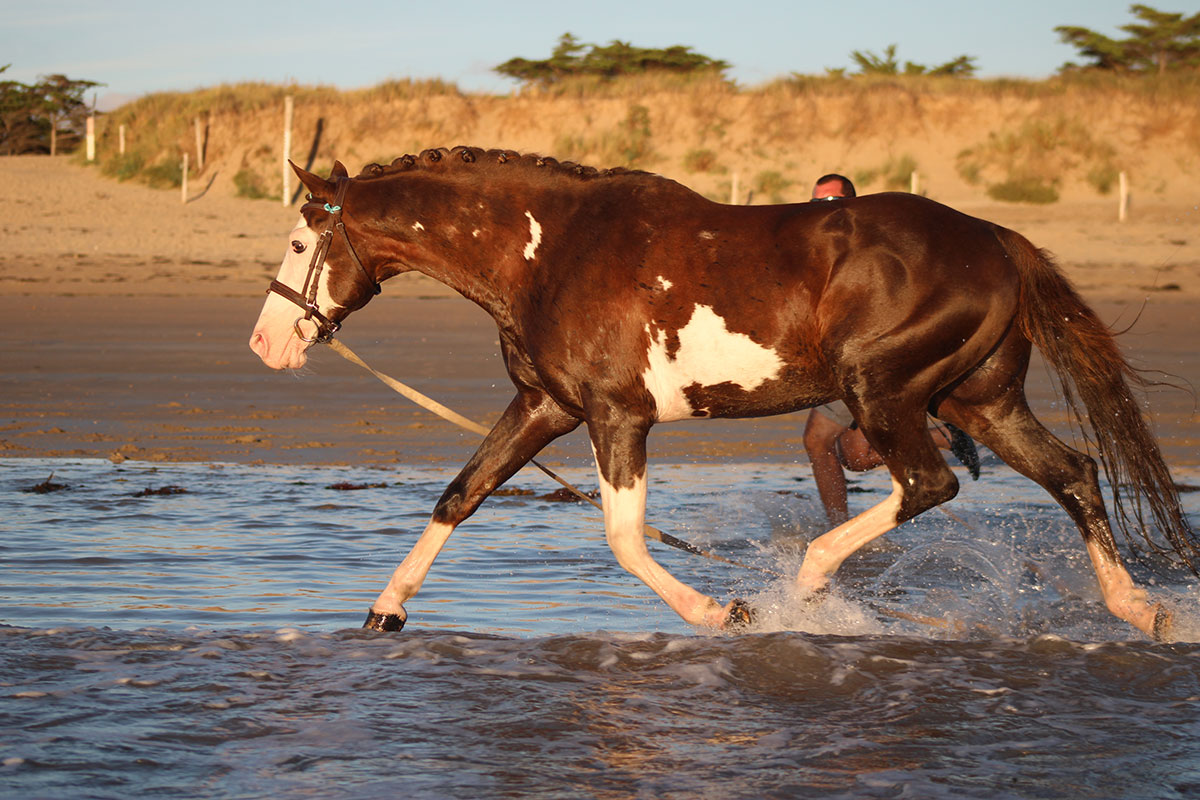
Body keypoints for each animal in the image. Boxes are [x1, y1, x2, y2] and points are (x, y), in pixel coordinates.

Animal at [248, 146, 1195, 642]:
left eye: (298, 243)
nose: (264, 344)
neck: (549, 253)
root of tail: (996, 238)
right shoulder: (546, 409)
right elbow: (460, 494)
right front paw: (385, 611)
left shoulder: (615, 418)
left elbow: (624, 539)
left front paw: (725, 609)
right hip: (978, 403)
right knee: (1073, 472)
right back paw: (1142, 611)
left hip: (884, 395)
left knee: (930, 484)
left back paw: (804, 587)